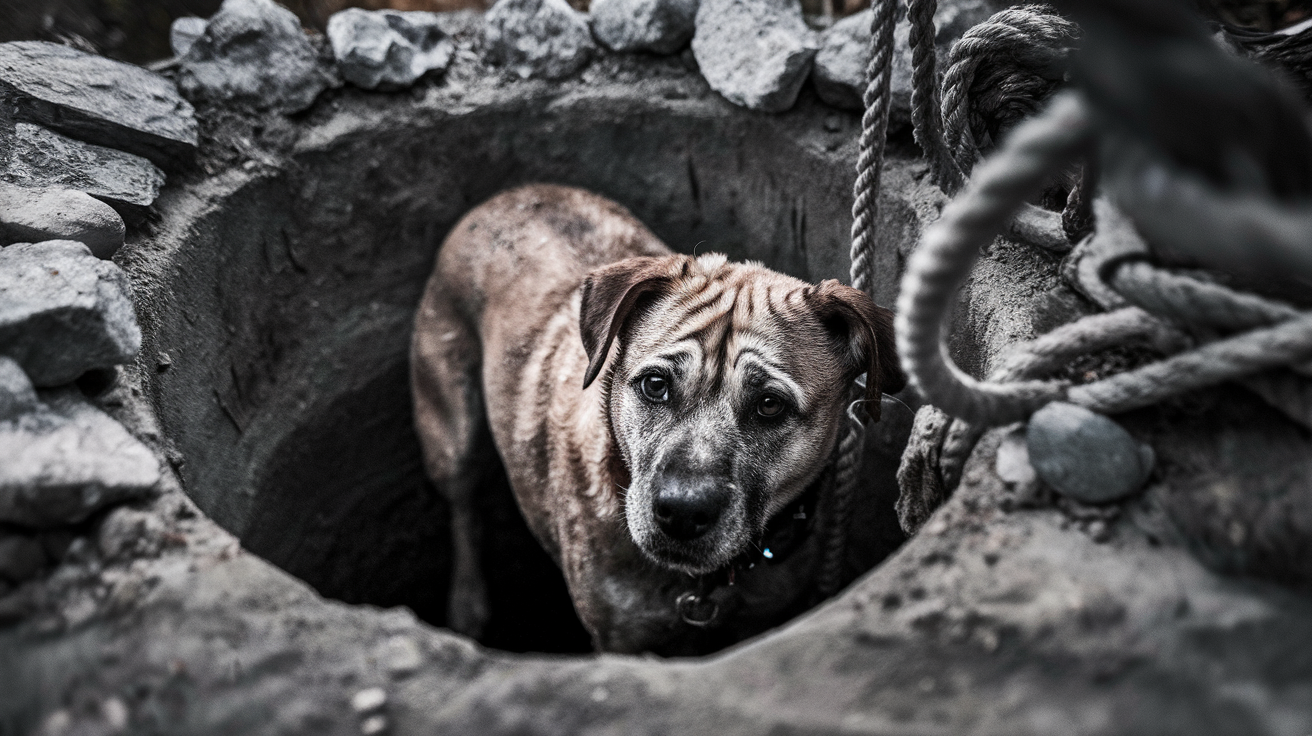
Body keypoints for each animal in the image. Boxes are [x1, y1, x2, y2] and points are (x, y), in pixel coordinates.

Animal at [409, 182, 902, 648]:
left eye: (770, 404)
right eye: (655, 385)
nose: (681, 513)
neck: (703, 586)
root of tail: (510, 194)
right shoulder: (620, 638)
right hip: (452, 436)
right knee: (464, 511)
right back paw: (467, 606)